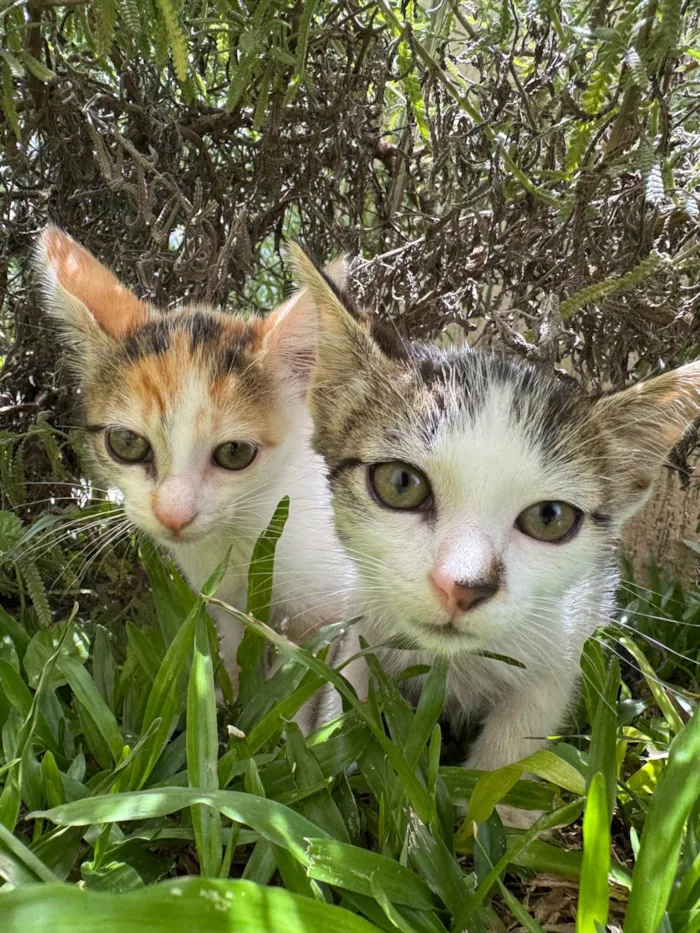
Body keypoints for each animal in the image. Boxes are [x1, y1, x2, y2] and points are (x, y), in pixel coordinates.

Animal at [35, 228, 352, 680]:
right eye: (127, 443)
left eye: (235, 452)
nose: (173, 515)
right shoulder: (222, 603)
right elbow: (235, 660)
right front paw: (223, 693)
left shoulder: (331, 609)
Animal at [292, 246, 700, 772]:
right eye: (401, 483)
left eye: (549, 518)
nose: (461, 588)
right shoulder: (361, 618)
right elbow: (346, 695)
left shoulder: (559, 651)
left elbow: (510, 760)